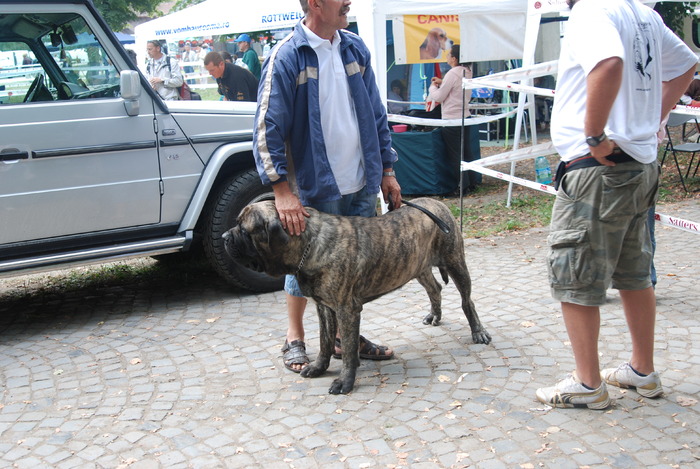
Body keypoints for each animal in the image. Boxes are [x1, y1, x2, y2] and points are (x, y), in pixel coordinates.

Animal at [224, 196, 492, 394]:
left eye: (245, 230)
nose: (225, 237)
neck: (310, 243)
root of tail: (437, 203)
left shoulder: (346, 309)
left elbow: (348, 348)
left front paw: (345, 381)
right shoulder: (324, 307)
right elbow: (325, 341)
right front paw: (319, 367)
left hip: (455, 261)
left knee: (467, 301)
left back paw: (478, 332)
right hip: (417, 266)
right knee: (434, 288)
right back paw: (434, 315)